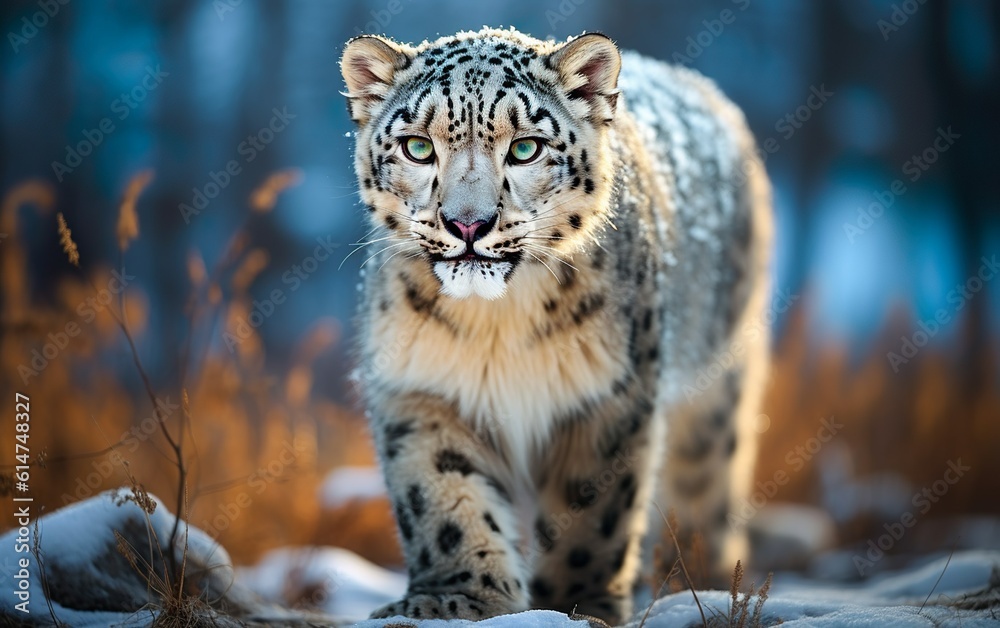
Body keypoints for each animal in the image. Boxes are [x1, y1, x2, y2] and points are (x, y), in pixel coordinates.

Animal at [340, 26, 772, 625]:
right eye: (418, 147)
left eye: (525, 148)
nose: (467, 224)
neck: (495, 322)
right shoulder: (422, 389)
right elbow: (442, 499)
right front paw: (456, 599)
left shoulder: (609, 396)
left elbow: (591, 513)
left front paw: (576, 604)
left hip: (716, 387)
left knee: (707, 484)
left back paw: (708, 586)